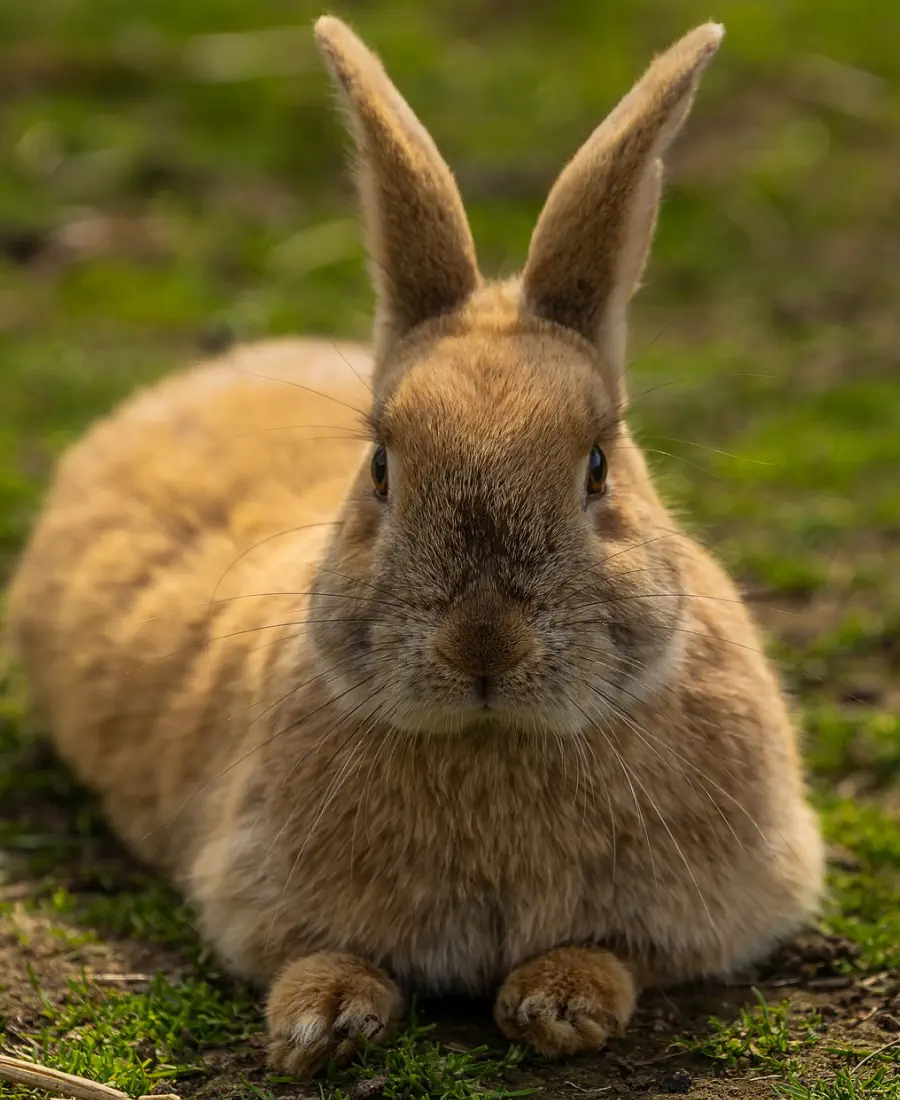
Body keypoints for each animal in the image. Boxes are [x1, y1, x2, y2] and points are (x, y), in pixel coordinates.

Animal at [5, 15, 818, 1082]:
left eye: (599, 467)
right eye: (383, 468)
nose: (483, 644)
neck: (493, 740)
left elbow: (618, 954)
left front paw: (561, 1001)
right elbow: (320, 953)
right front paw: (321, 1021)